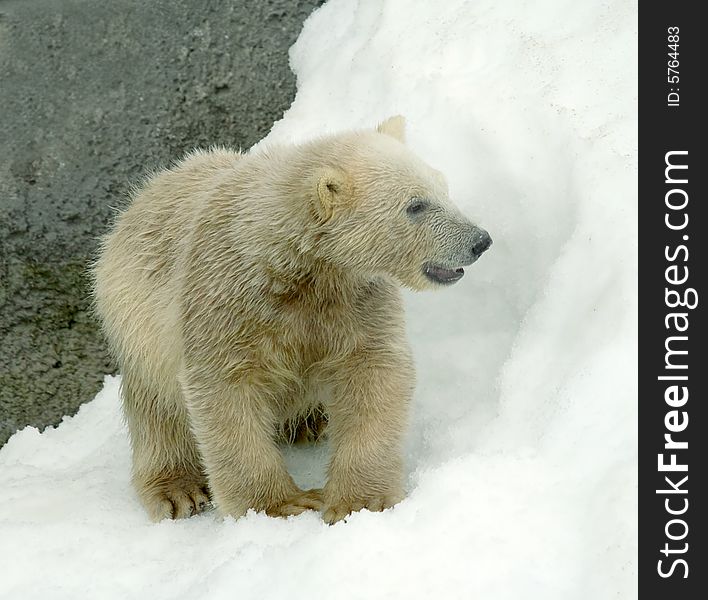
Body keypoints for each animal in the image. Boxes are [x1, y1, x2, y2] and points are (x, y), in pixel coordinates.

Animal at [91, 116, 492, 520]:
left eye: (443, 186)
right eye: (416, 205)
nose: (480, 241)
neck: (295, 265)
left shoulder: (355, 297)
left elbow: (373, 371)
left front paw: (361, 501)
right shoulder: (225, 299)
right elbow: (225, 391)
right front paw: (281, 505)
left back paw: (312, 421)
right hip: (136, 320)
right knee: (158, 407)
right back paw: (178, 490)